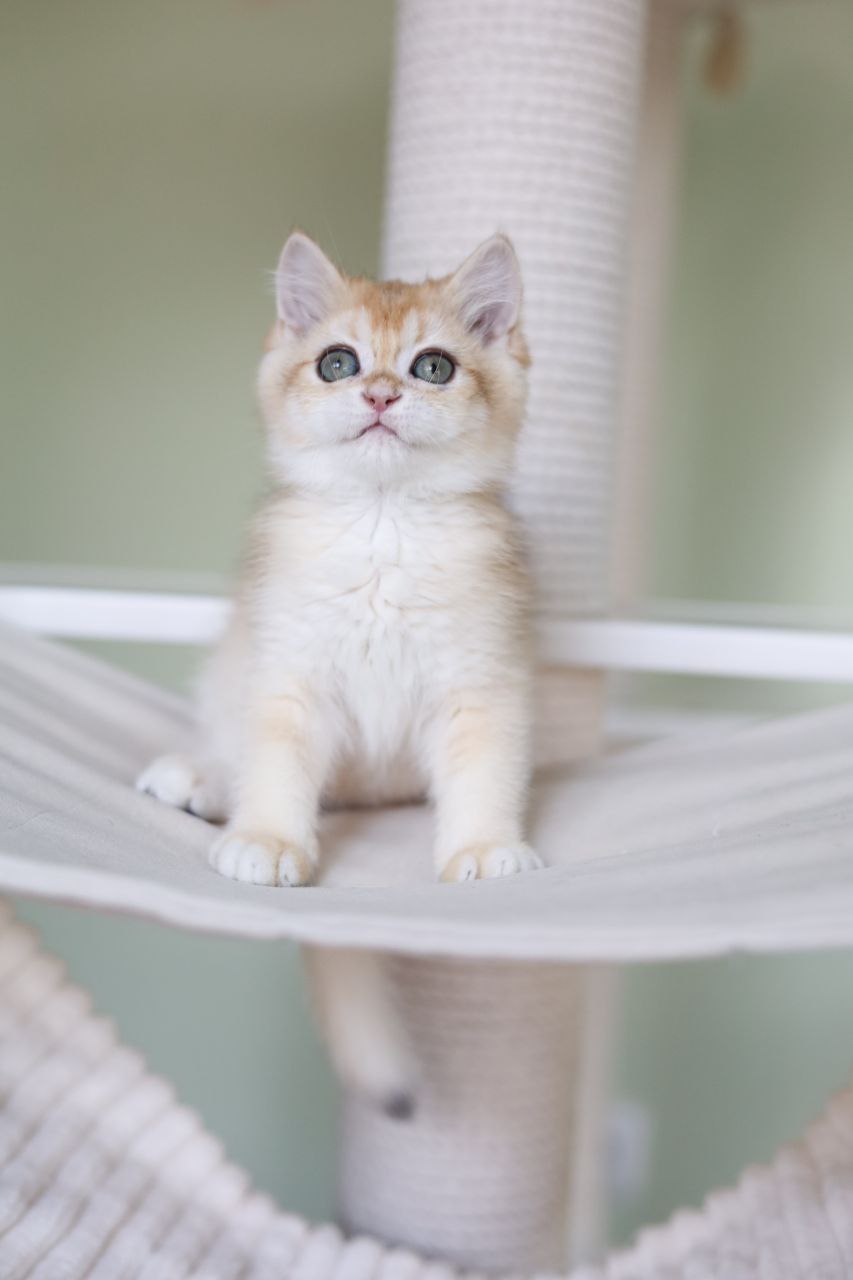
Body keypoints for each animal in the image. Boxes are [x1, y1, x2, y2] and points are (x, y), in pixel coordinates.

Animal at [137, 229, 542, 1110]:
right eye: (336, 363)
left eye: (433, 367)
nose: (381, 395)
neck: (384, 527)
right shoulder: (288, 676)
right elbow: (278, 768)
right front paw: (267, 839)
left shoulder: (481, 682)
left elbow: (483, 772)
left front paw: (483, 846)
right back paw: (205, 783)